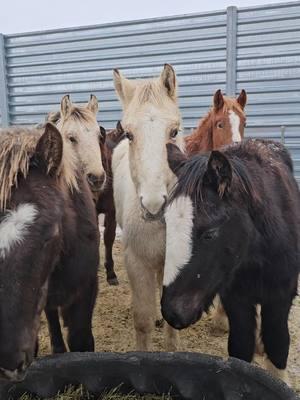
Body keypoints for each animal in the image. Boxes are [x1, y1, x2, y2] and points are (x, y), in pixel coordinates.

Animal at [162, 138, 300, 384]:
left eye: (210, 234)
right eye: (166, 224)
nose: (172, 312)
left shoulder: (280, 297)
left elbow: (277, 343)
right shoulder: (236, 299)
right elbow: (240, 347)